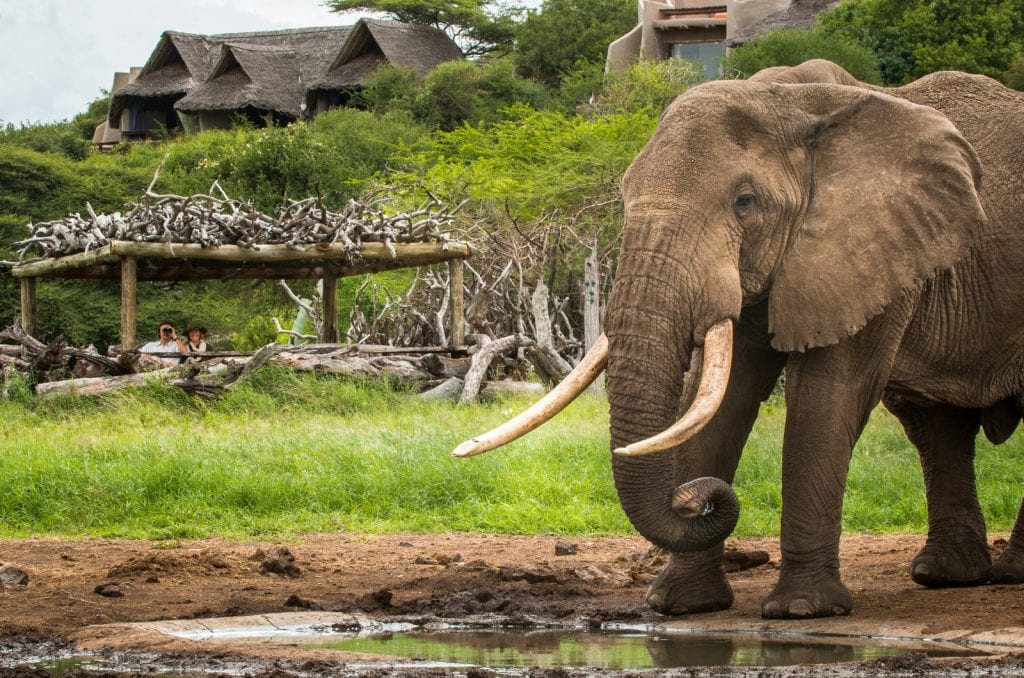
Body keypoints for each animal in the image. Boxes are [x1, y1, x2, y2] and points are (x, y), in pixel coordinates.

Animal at [453, 59, 1024, 620]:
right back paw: (947, 576)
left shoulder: (872, 252)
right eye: (624, 195)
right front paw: (681, 604)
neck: (794, 101)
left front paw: (802, 611)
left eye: (746, 202)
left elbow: (828, 396)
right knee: (934, 425)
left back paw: (1005, 574)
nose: (695, 499)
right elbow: (723, 400)